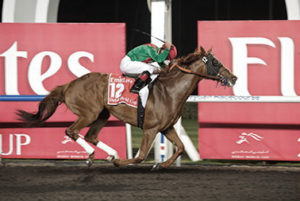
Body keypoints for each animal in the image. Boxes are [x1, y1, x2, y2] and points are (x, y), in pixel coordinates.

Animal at [17, 46, 237, 170]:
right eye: (215, 61)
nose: (233, 77)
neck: (170, 91)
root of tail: (69, 85)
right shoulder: (150, 128)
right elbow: (140, 156)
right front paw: (121, 162)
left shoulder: (167, 127)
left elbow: (181, 147)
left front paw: (160, 164)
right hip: (89, 113)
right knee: (72, 131)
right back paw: (94, 155)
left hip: (102, 114)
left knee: (90, 136)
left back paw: (111, 153)